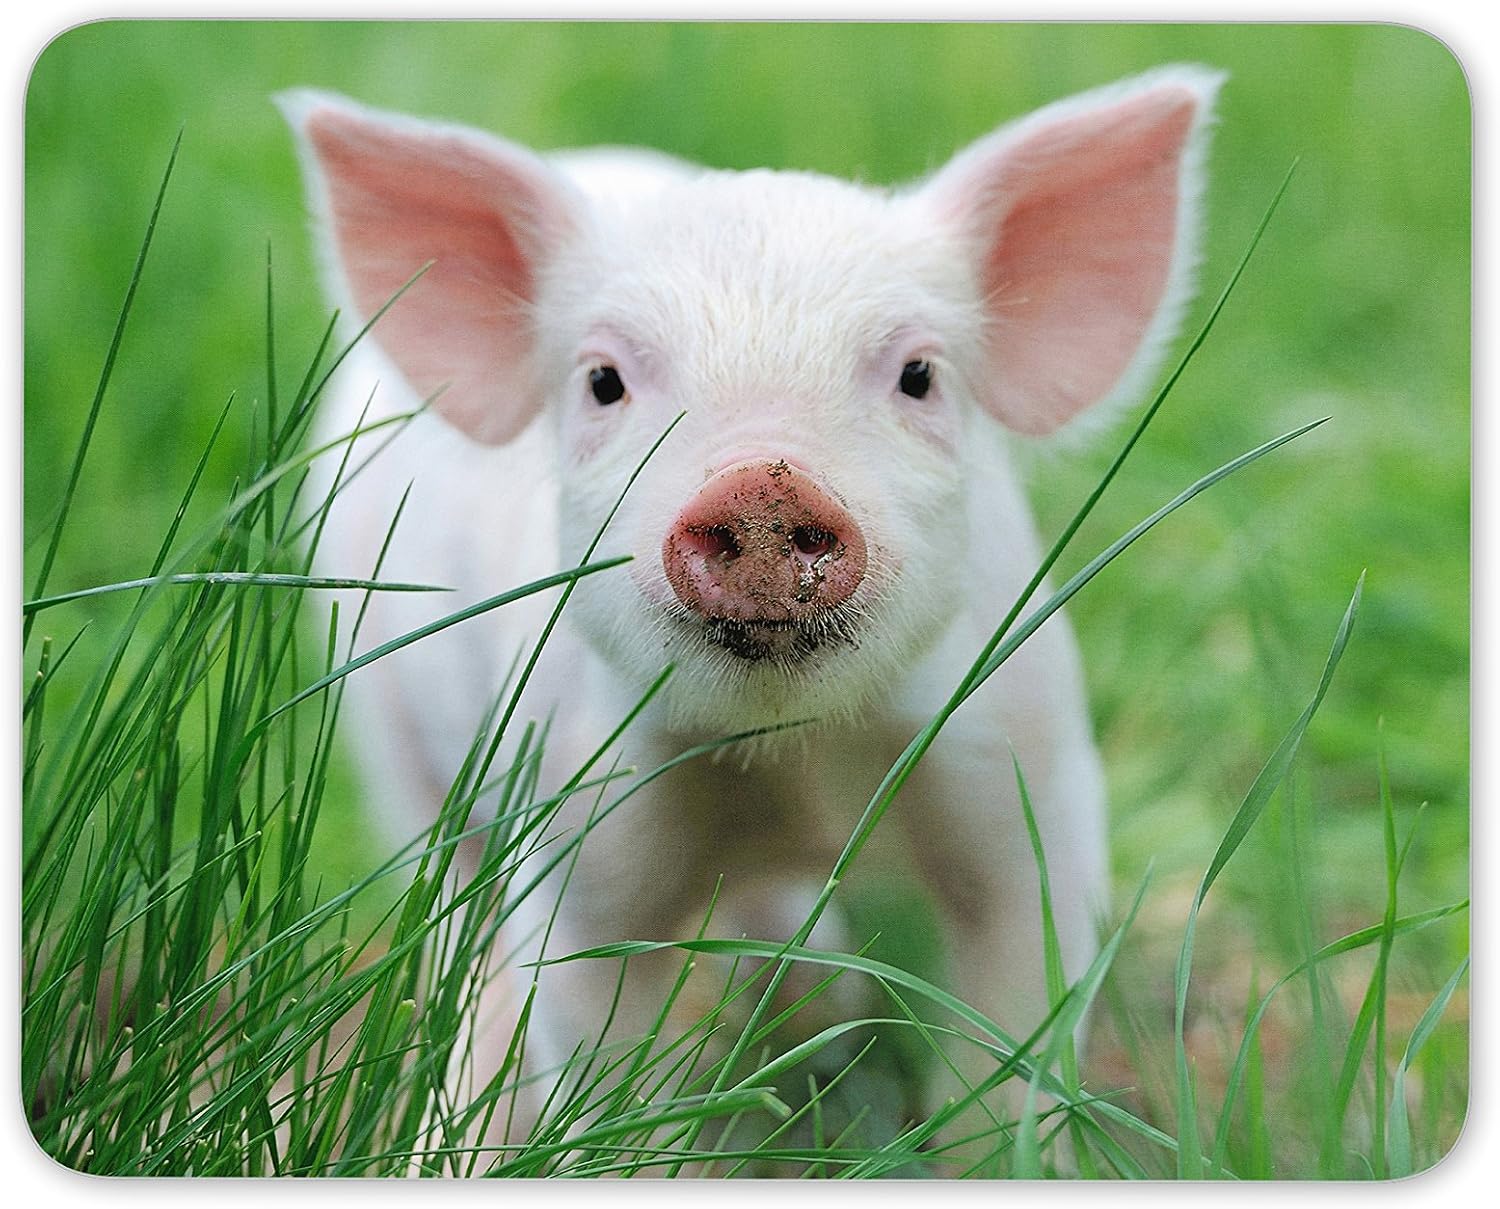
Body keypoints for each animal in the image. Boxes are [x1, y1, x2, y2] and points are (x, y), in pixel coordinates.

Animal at [280, 64, 1222, 1163]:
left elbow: (1012, 1028)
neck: (789, 760)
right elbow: (593, 1044)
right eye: (603, 381)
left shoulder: (1031, 777)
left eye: (919, 375)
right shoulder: (571, 821)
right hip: (390, 733)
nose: (763, 484)